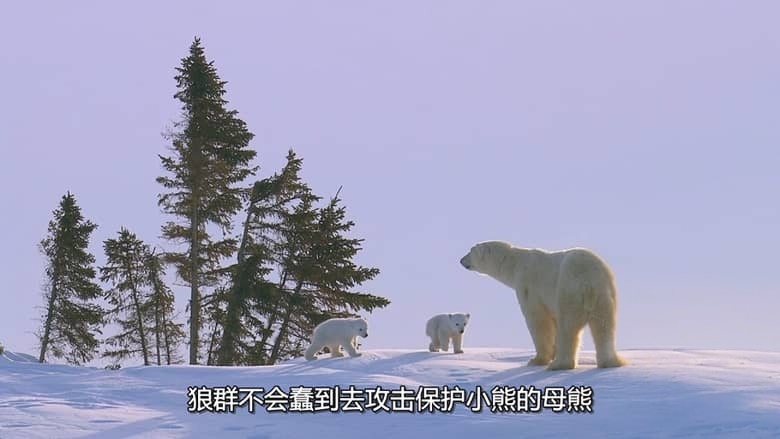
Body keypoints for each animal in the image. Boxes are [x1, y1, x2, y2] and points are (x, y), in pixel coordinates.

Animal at [460, 240, 627, 370]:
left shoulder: (529, 285)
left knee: (567, 326)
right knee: (604, 326)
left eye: (470, 251)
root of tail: (588, 281)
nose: (461, 260)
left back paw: (560, 364)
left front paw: (537, 360)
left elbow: (539, 321)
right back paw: (612, 362)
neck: (516, 264)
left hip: (568, 289)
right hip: (605, 294)